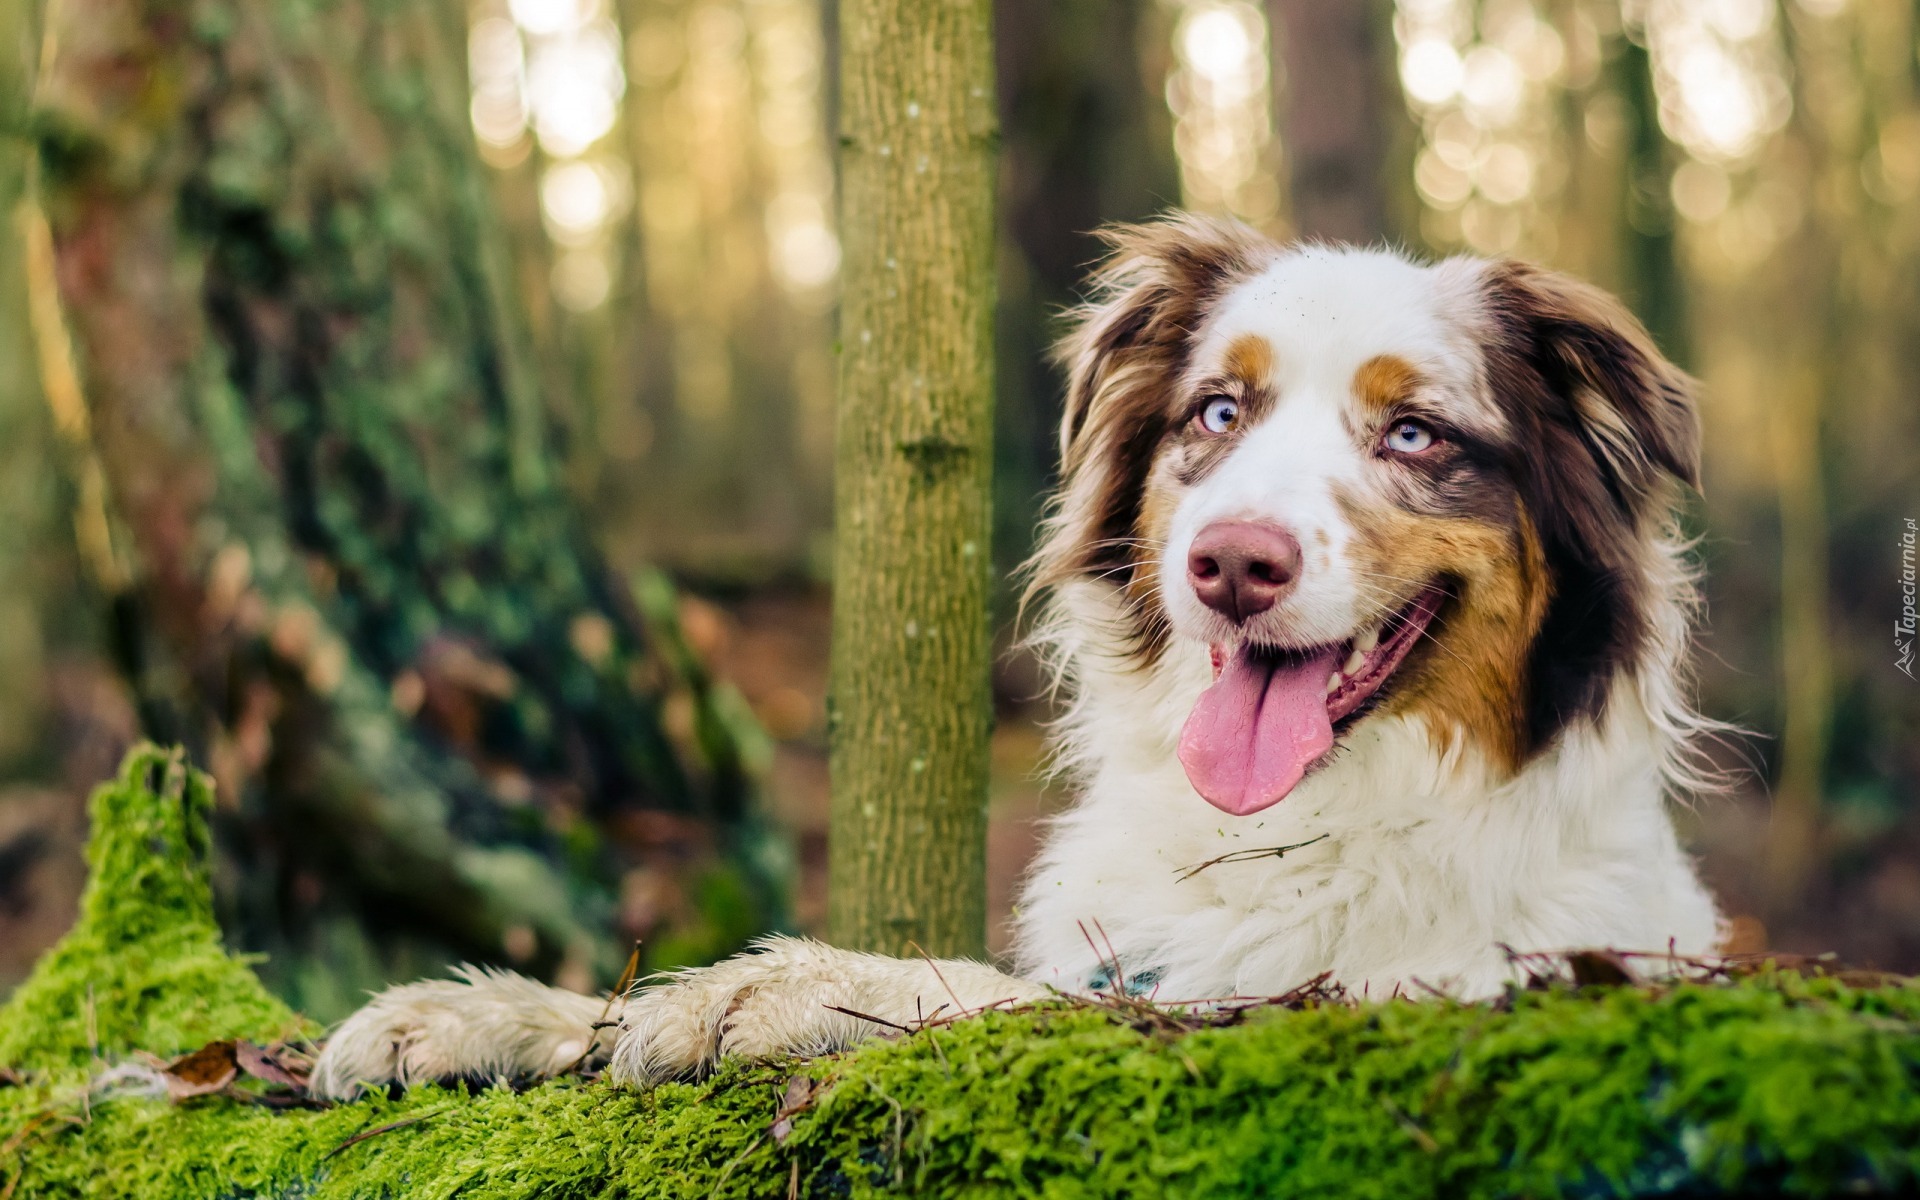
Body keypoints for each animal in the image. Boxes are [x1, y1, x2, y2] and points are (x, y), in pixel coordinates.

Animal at [311, 213, 1728, 1098]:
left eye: (1418, 435)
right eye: (1219, 413)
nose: (1231, 564)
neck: (1294, 826)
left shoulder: (1389, 986)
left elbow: (1019, 995)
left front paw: (781, 990)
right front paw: (475, 1015)